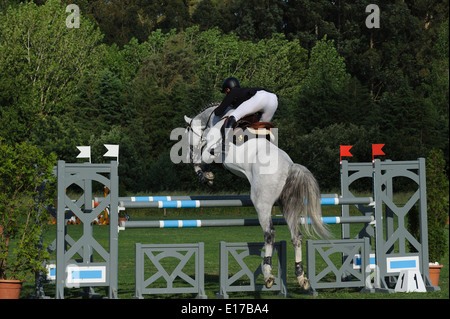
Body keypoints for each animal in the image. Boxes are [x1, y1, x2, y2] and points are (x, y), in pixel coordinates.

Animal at [184, 102, 330, 290]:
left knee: (269, 233)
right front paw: (207, 176)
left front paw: (204, 175)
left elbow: (199, 159)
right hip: (287, 205)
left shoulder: (208, 151)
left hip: (262, 203)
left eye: (188, 131)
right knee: (296, 236)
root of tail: (290, 167)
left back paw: (268, 274)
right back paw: (300, 277)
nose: (189, 150)